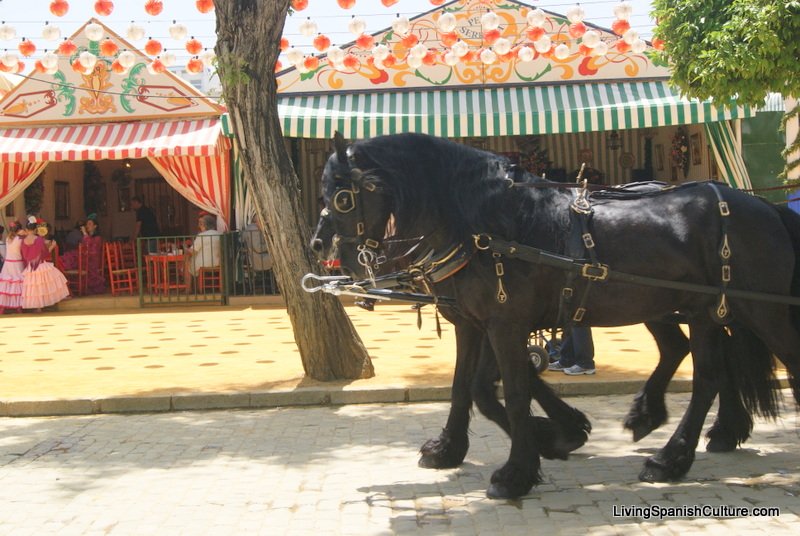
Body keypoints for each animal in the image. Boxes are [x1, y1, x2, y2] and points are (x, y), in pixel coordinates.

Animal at [316, 133, 796, 498]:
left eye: (342, 197)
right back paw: (673, 444)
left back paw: (675, 450)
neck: (488, 225)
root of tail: (765, 208)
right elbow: (468, 387)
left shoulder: (505, 324)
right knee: (705, 370)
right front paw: (459, 447)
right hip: (696, 310)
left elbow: (511, 390)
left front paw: (520, 468)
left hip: (760, 309)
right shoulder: (474, 323)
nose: (322, 248)